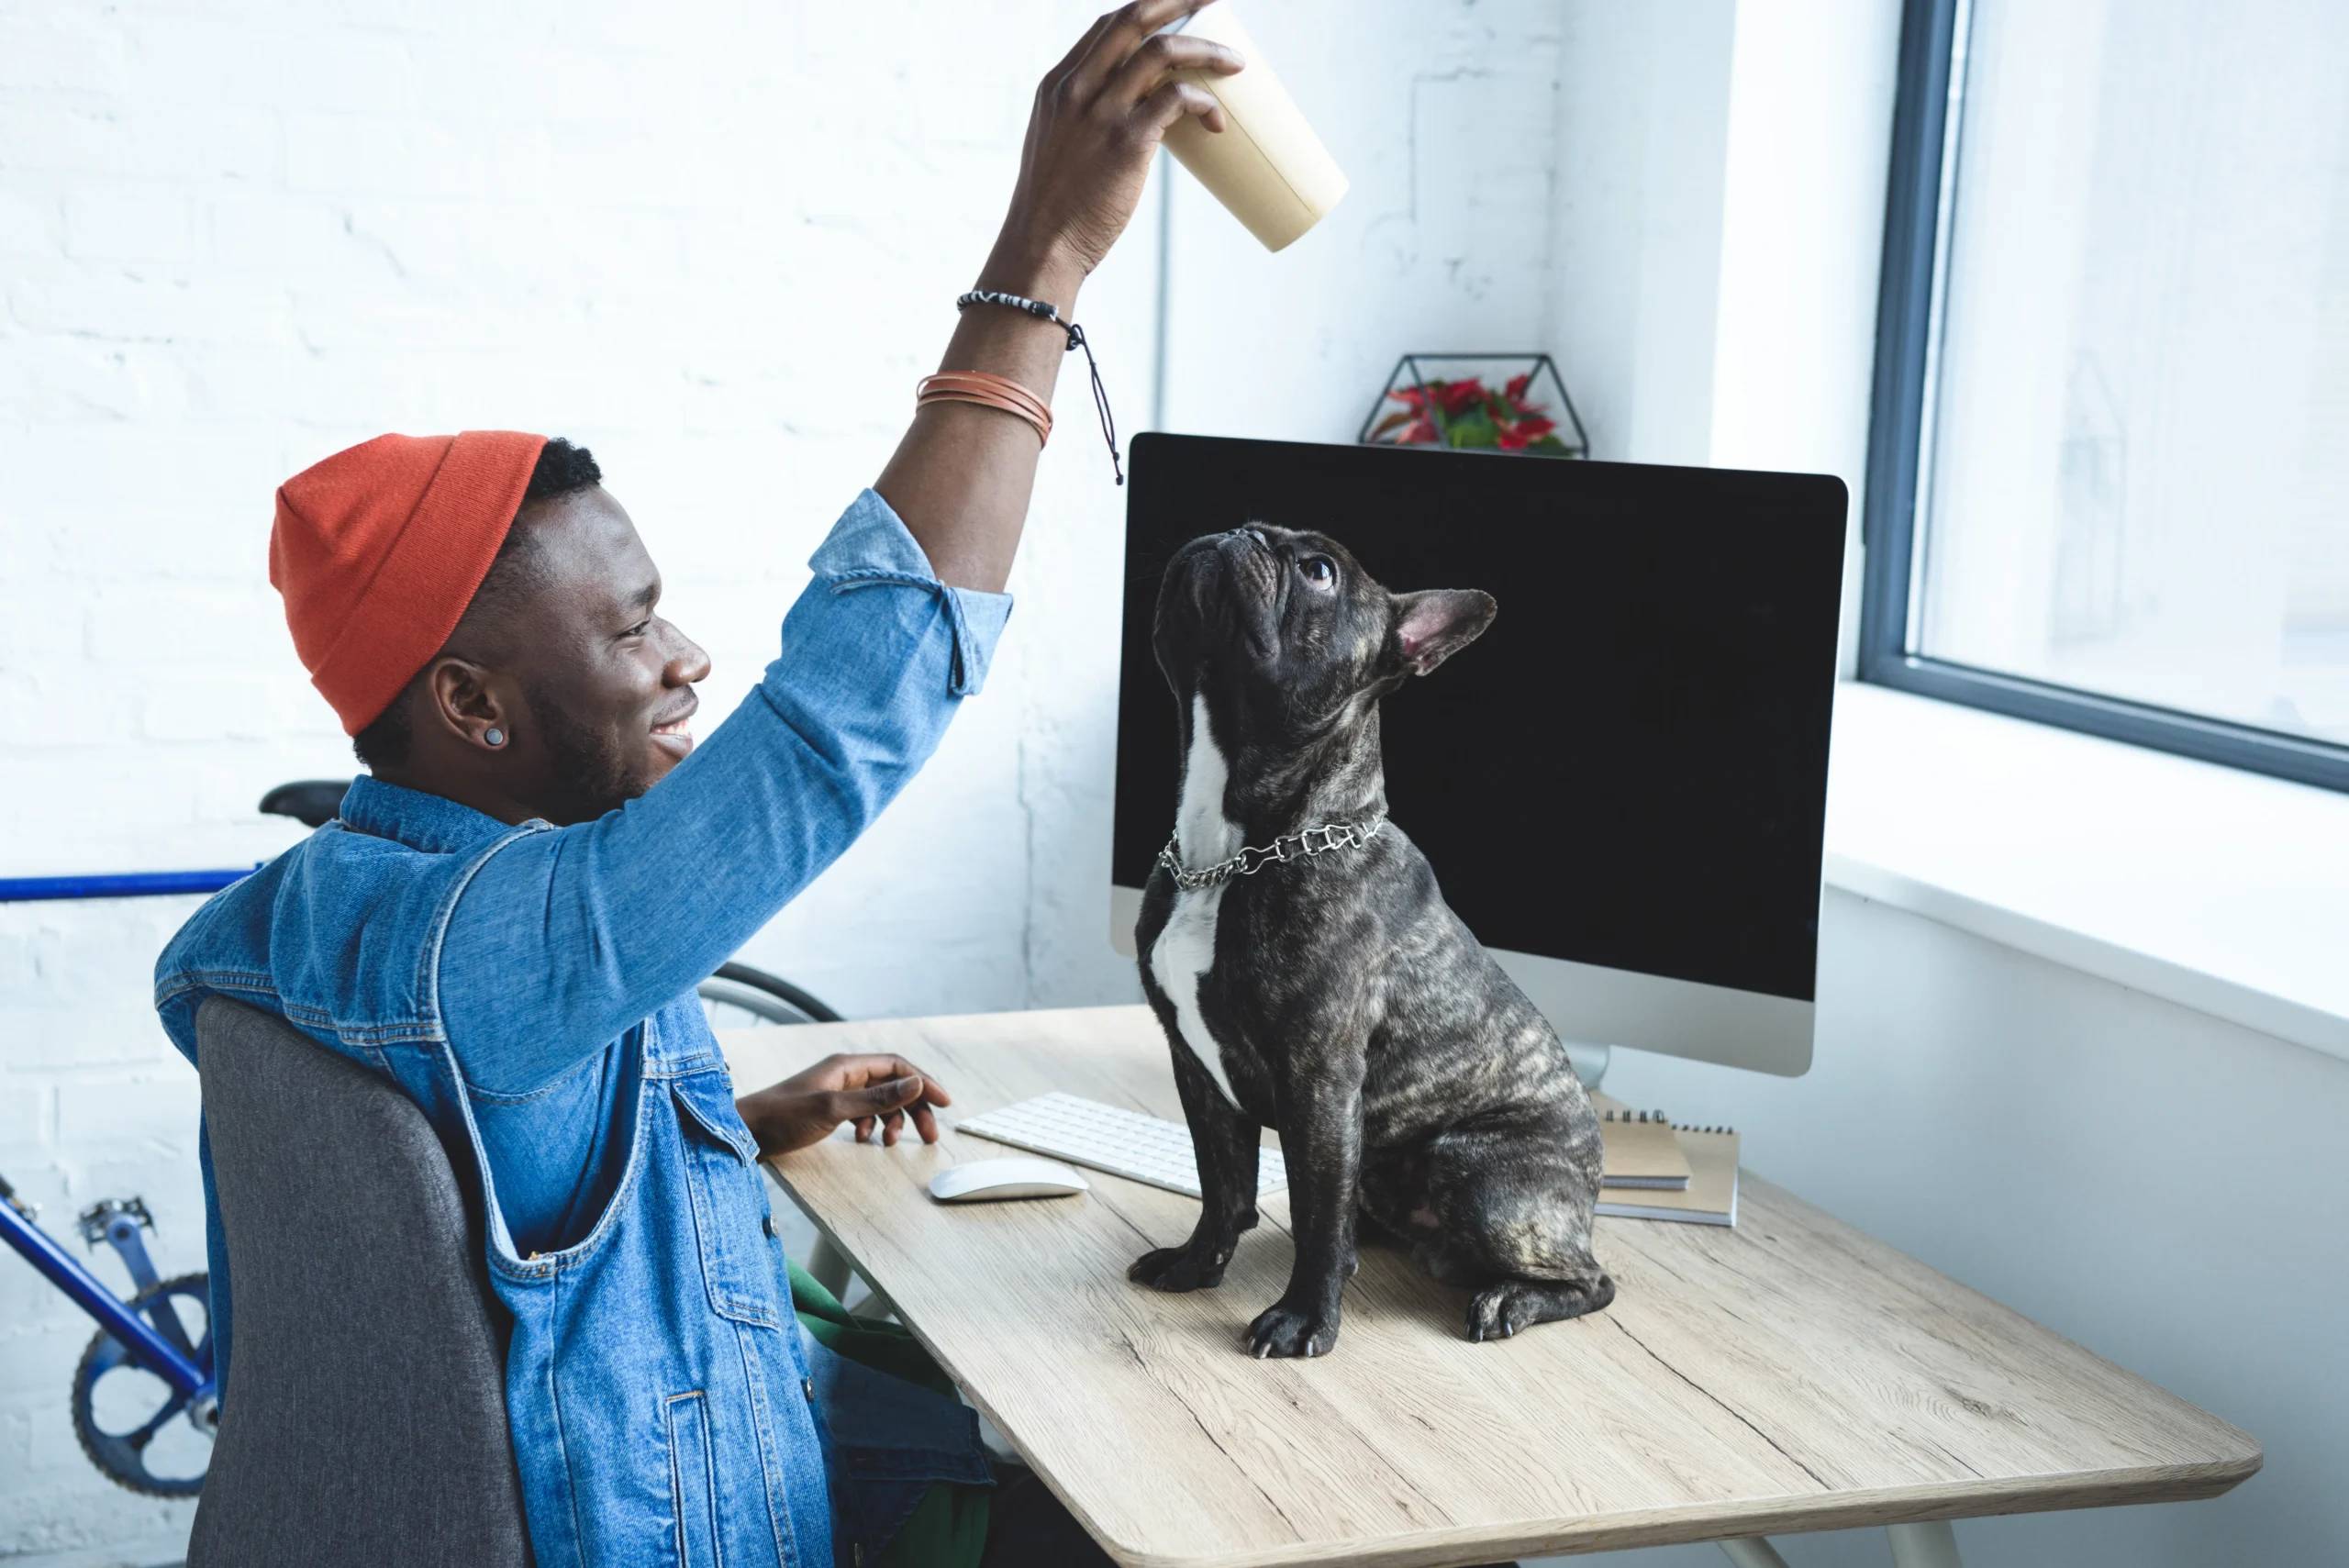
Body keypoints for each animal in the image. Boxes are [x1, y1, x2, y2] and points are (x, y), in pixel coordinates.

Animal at [1131, 526, 1616, 1361]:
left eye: (1320, 571)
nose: (1238, 530)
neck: (1230, 854)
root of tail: (1591, 1184)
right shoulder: (1194, 1064)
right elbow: (1220, 1185)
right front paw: (1196, 1264)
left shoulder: (1321, 1079)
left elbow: (1315, 1216)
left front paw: (1303, 1319)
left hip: (1474, 1167)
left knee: (1592, 1280)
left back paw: (1510, 1299)